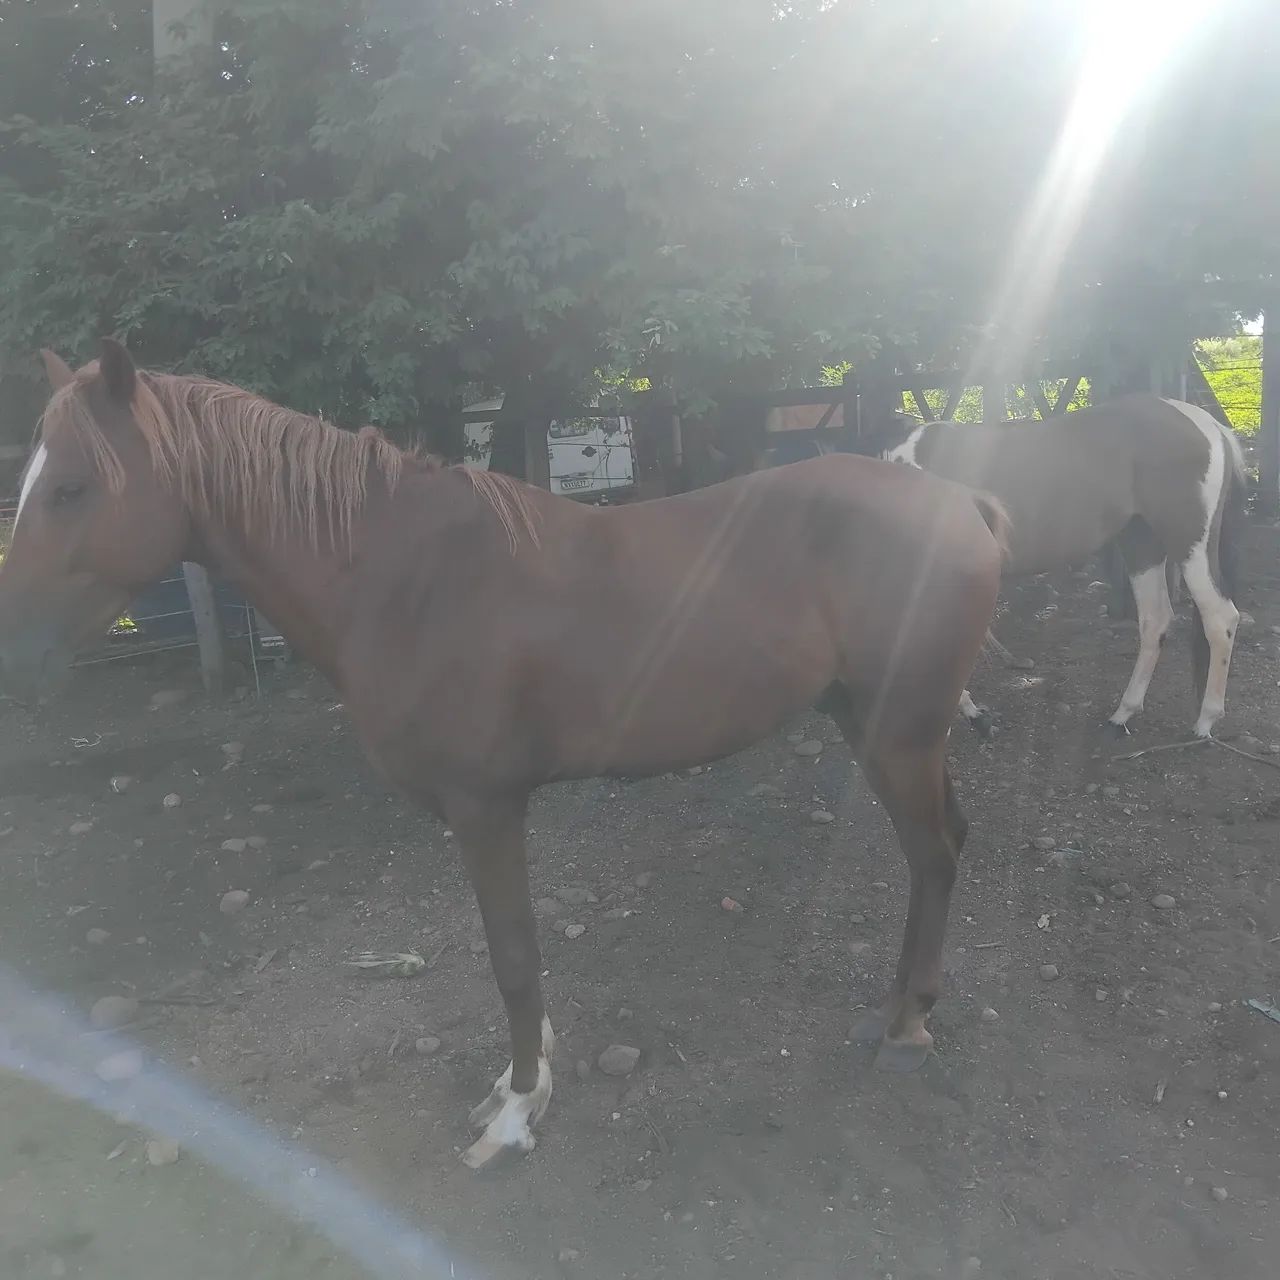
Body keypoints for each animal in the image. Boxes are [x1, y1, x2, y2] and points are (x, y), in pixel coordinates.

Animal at [0, 340, 1006, 1169]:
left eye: (71, 487)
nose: (13, 650)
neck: (402, 578)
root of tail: (961, 501)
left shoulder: (486, 808)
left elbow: (513, 960)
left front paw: (520, 1109)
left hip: (899, 736)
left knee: (933, 856)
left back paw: (907, 1026)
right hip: (879, 727)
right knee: (948, 843)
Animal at [857, 395, 1247, 739]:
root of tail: (1209, 425)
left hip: (1188, 543)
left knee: (1220, 619)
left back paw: (1205, 722)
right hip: (1141, 543)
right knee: (1156, 620)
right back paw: (1122, 714)